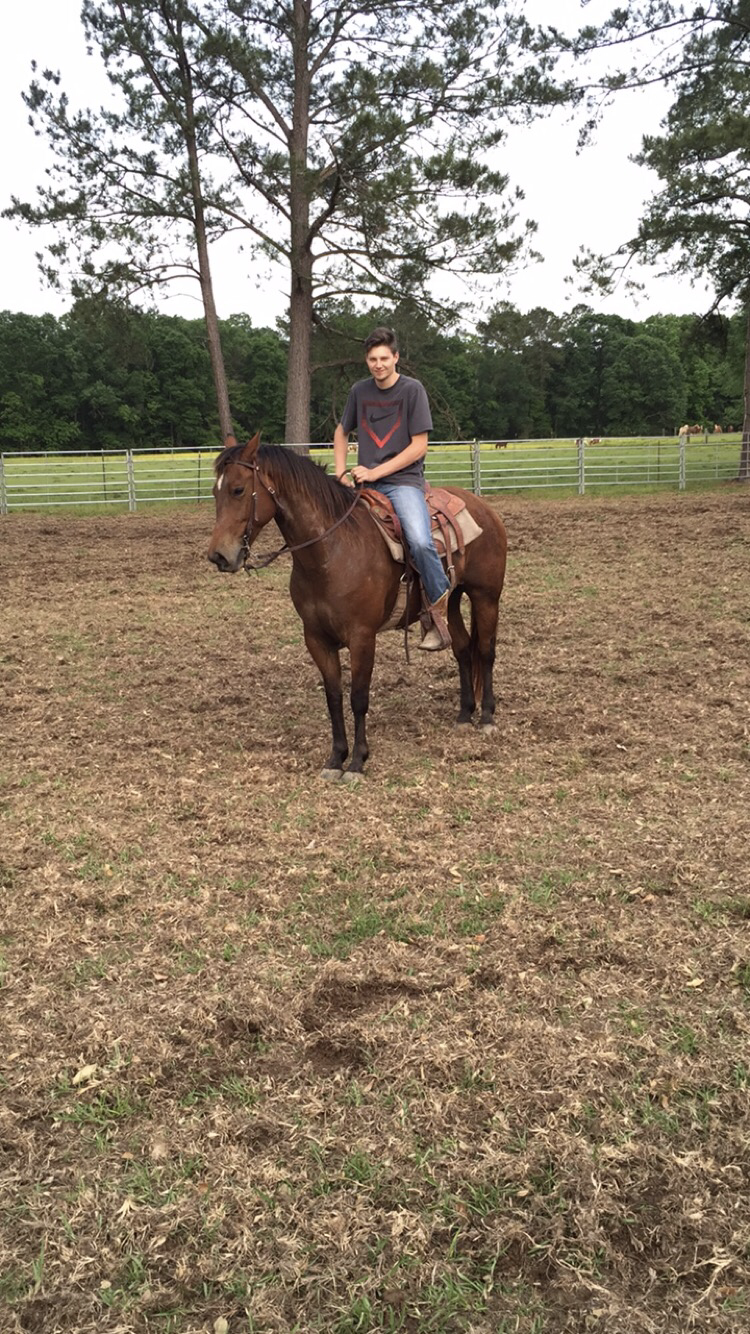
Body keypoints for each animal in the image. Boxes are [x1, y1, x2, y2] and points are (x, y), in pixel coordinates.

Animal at [207, 434, 507, 780]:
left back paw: (486, 718)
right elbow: (334, 697)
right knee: (462, 649)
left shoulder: (362, 637)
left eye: (238, 489)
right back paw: (463, 715)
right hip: (453, 599)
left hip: (486, 597)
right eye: (215, 491)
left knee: (485, 651)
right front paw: (336, 758)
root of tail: (482, 507)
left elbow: (359, 698)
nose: (219, 556)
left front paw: (357, 762)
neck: (331, 552)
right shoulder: (316, 638)